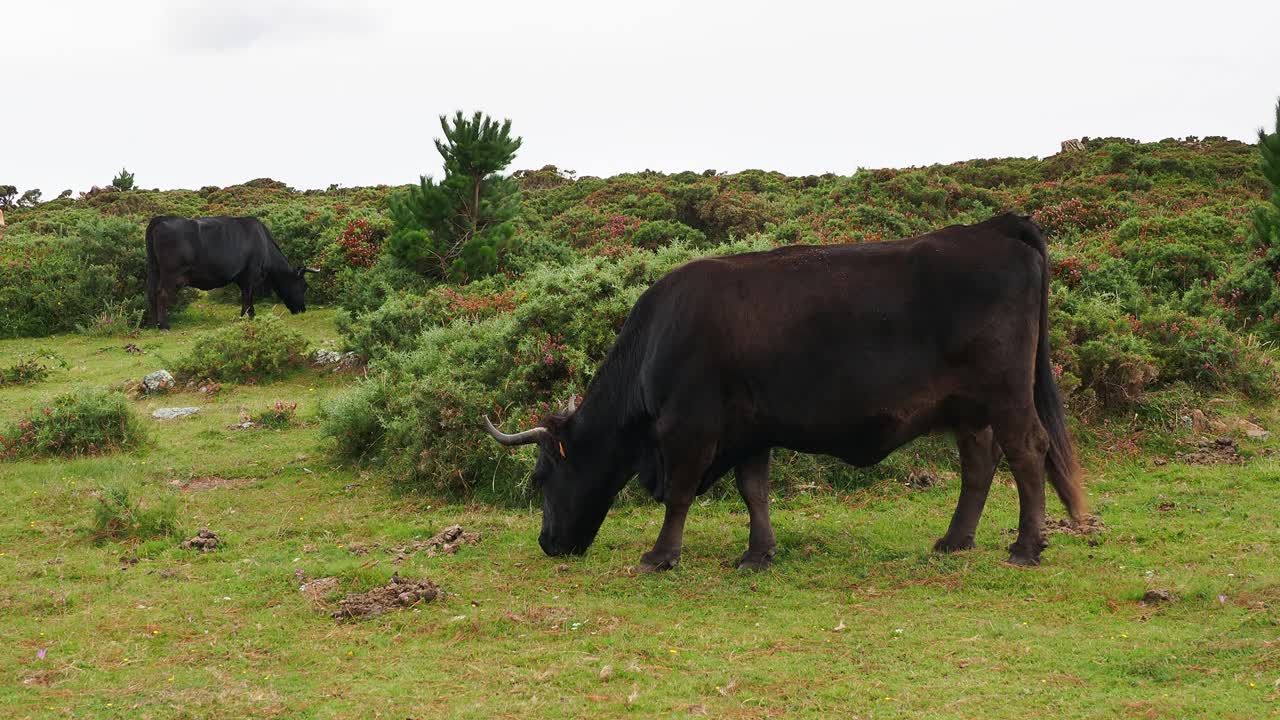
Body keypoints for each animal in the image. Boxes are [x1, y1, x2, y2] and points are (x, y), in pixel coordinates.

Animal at [142, 213, 314, 330]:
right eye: (304, 286)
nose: (303, 310)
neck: (264, 244)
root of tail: (162, 218)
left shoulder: (241, 277)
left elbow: (246, 296)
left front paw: (248, 314)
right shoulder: (251, 274)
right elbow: (248, 295)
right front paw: (248, 316)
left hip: (154, 270)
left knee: (151, 292)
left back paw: (152, 323)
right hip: (172, 275)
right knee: (162, 294)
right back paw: (164, 325)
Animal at [483, 210, 1085, 568]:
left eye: (540, 478)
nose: (548, 544)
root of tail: (995, 226)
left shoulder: (689, 428)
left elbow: (679, 492)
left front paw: (660, 555)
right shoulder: (749, 430)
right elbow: (755, 491)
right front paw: (758, 553)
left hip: (1007, 395)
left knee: (1028, 452)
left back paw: (1026, 546)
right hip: (967, 408)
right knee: (979, 463)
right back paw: (955, 540)